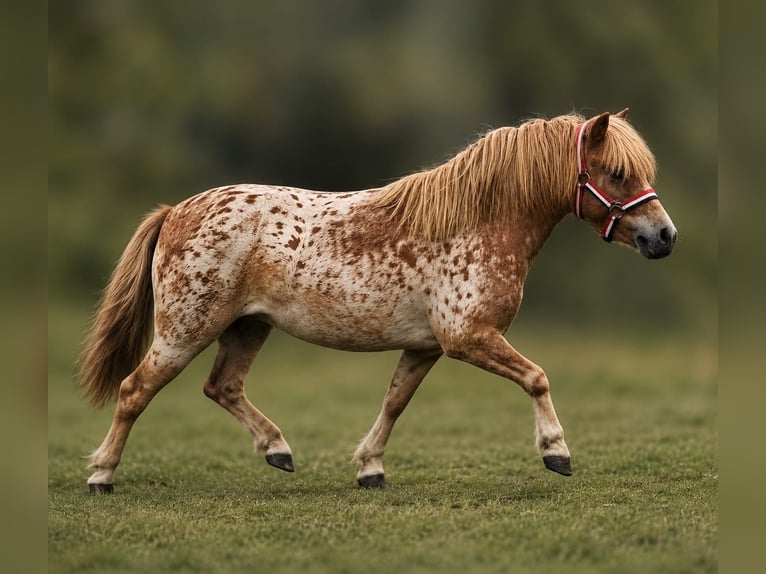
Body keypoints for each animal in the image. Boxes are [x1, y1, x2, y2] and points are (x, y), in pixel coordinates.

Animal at [77, 109, 677, 493]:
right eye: (617, 174)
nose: (664, 236)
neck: (475, 223)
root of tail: (176, 211)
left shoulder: (426, 347)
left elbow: (394, 403)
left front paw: (370, 469)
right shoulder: (467, 338)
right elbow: (537, 377)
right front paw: (556, 452)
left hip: (247, 327)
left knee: (221, 387)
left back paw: (278, 449)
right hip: (185, 329)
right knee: (133, 391)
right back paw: (102, 475)